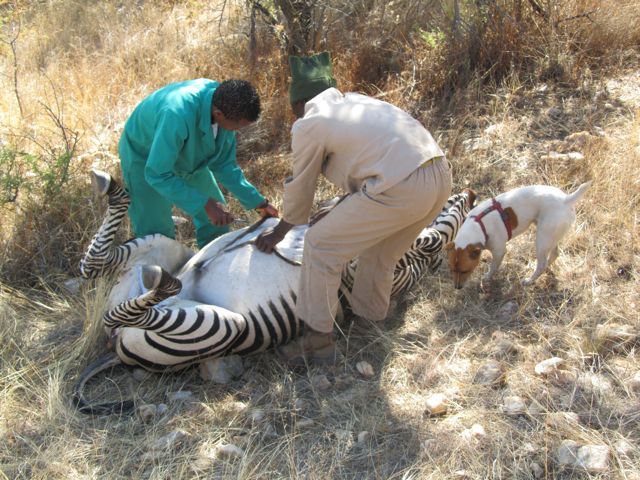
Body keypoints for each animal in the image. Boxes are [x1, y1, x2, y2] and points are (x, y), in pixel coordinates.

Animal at [75, 169, 476, 412]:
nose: (471, 192)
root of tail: (112, 348)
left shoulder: (362, 270)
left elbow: (430, 238)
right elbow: (431, 233)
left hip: (223, 326)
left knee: (118, 299)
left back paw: (157, 278)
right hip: (168, 251)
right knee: (95, 265)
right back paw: (109, 188)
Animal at [444, 182, 592, 286]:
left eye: (465, 271)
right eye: (451, 269)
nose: (457, 287)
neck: (479, 225)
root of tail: (566, 200)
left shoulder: (499, 252)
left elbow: (493, 267)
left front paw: (487, 277)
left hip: (542, 239)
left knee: (542, 264)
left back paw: (530, 280)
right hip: (550, 237)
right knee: (554, 254)